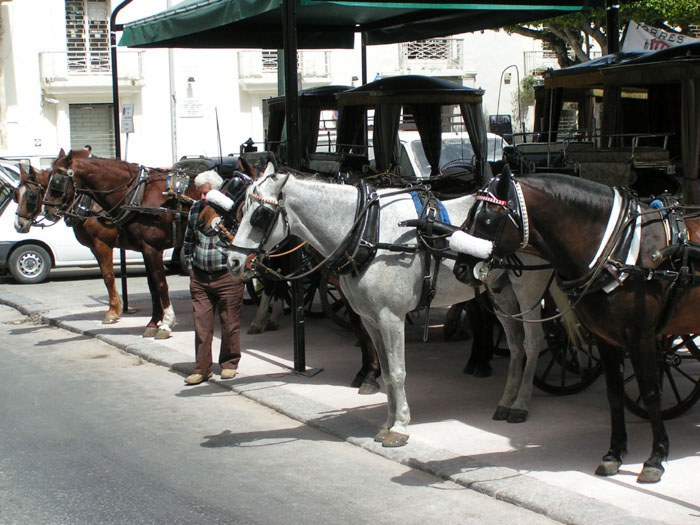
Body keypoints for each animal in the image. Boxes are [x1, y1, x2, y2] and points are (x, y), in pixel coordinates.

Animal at [43, 148, 200, 336]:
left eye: (56, 181)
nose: (47, 210)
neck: (139, 194)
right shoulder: (145, 249)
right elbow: (152, 286)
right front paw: (153, 322)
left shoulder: (152, 248)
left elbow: (161, 284)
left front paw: (167, 323)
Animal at [224, 166, 552, 444]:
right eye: (243, 210)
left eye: (261, 215)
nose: (233, 261)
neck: (368, 232)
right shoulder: (370, 318)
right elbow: (384, 368)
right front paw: (387, 421)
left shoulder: (391, 317)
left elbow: (396, 372)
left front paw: (400, 427)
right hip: (500, 292)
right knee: (516, 344)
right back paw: (506, 400)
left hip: (527, 289)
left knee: (533, 342)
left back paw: (520, 404)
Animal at [456, 169, 700, 484]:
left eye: (486, 219)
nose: (460, 268)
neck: (617, 249)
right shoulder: (608, 339)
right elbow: (613, 393)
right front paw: (613, 454)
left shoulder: (642, 339)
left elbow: (651, 394)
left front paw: (655, 458)